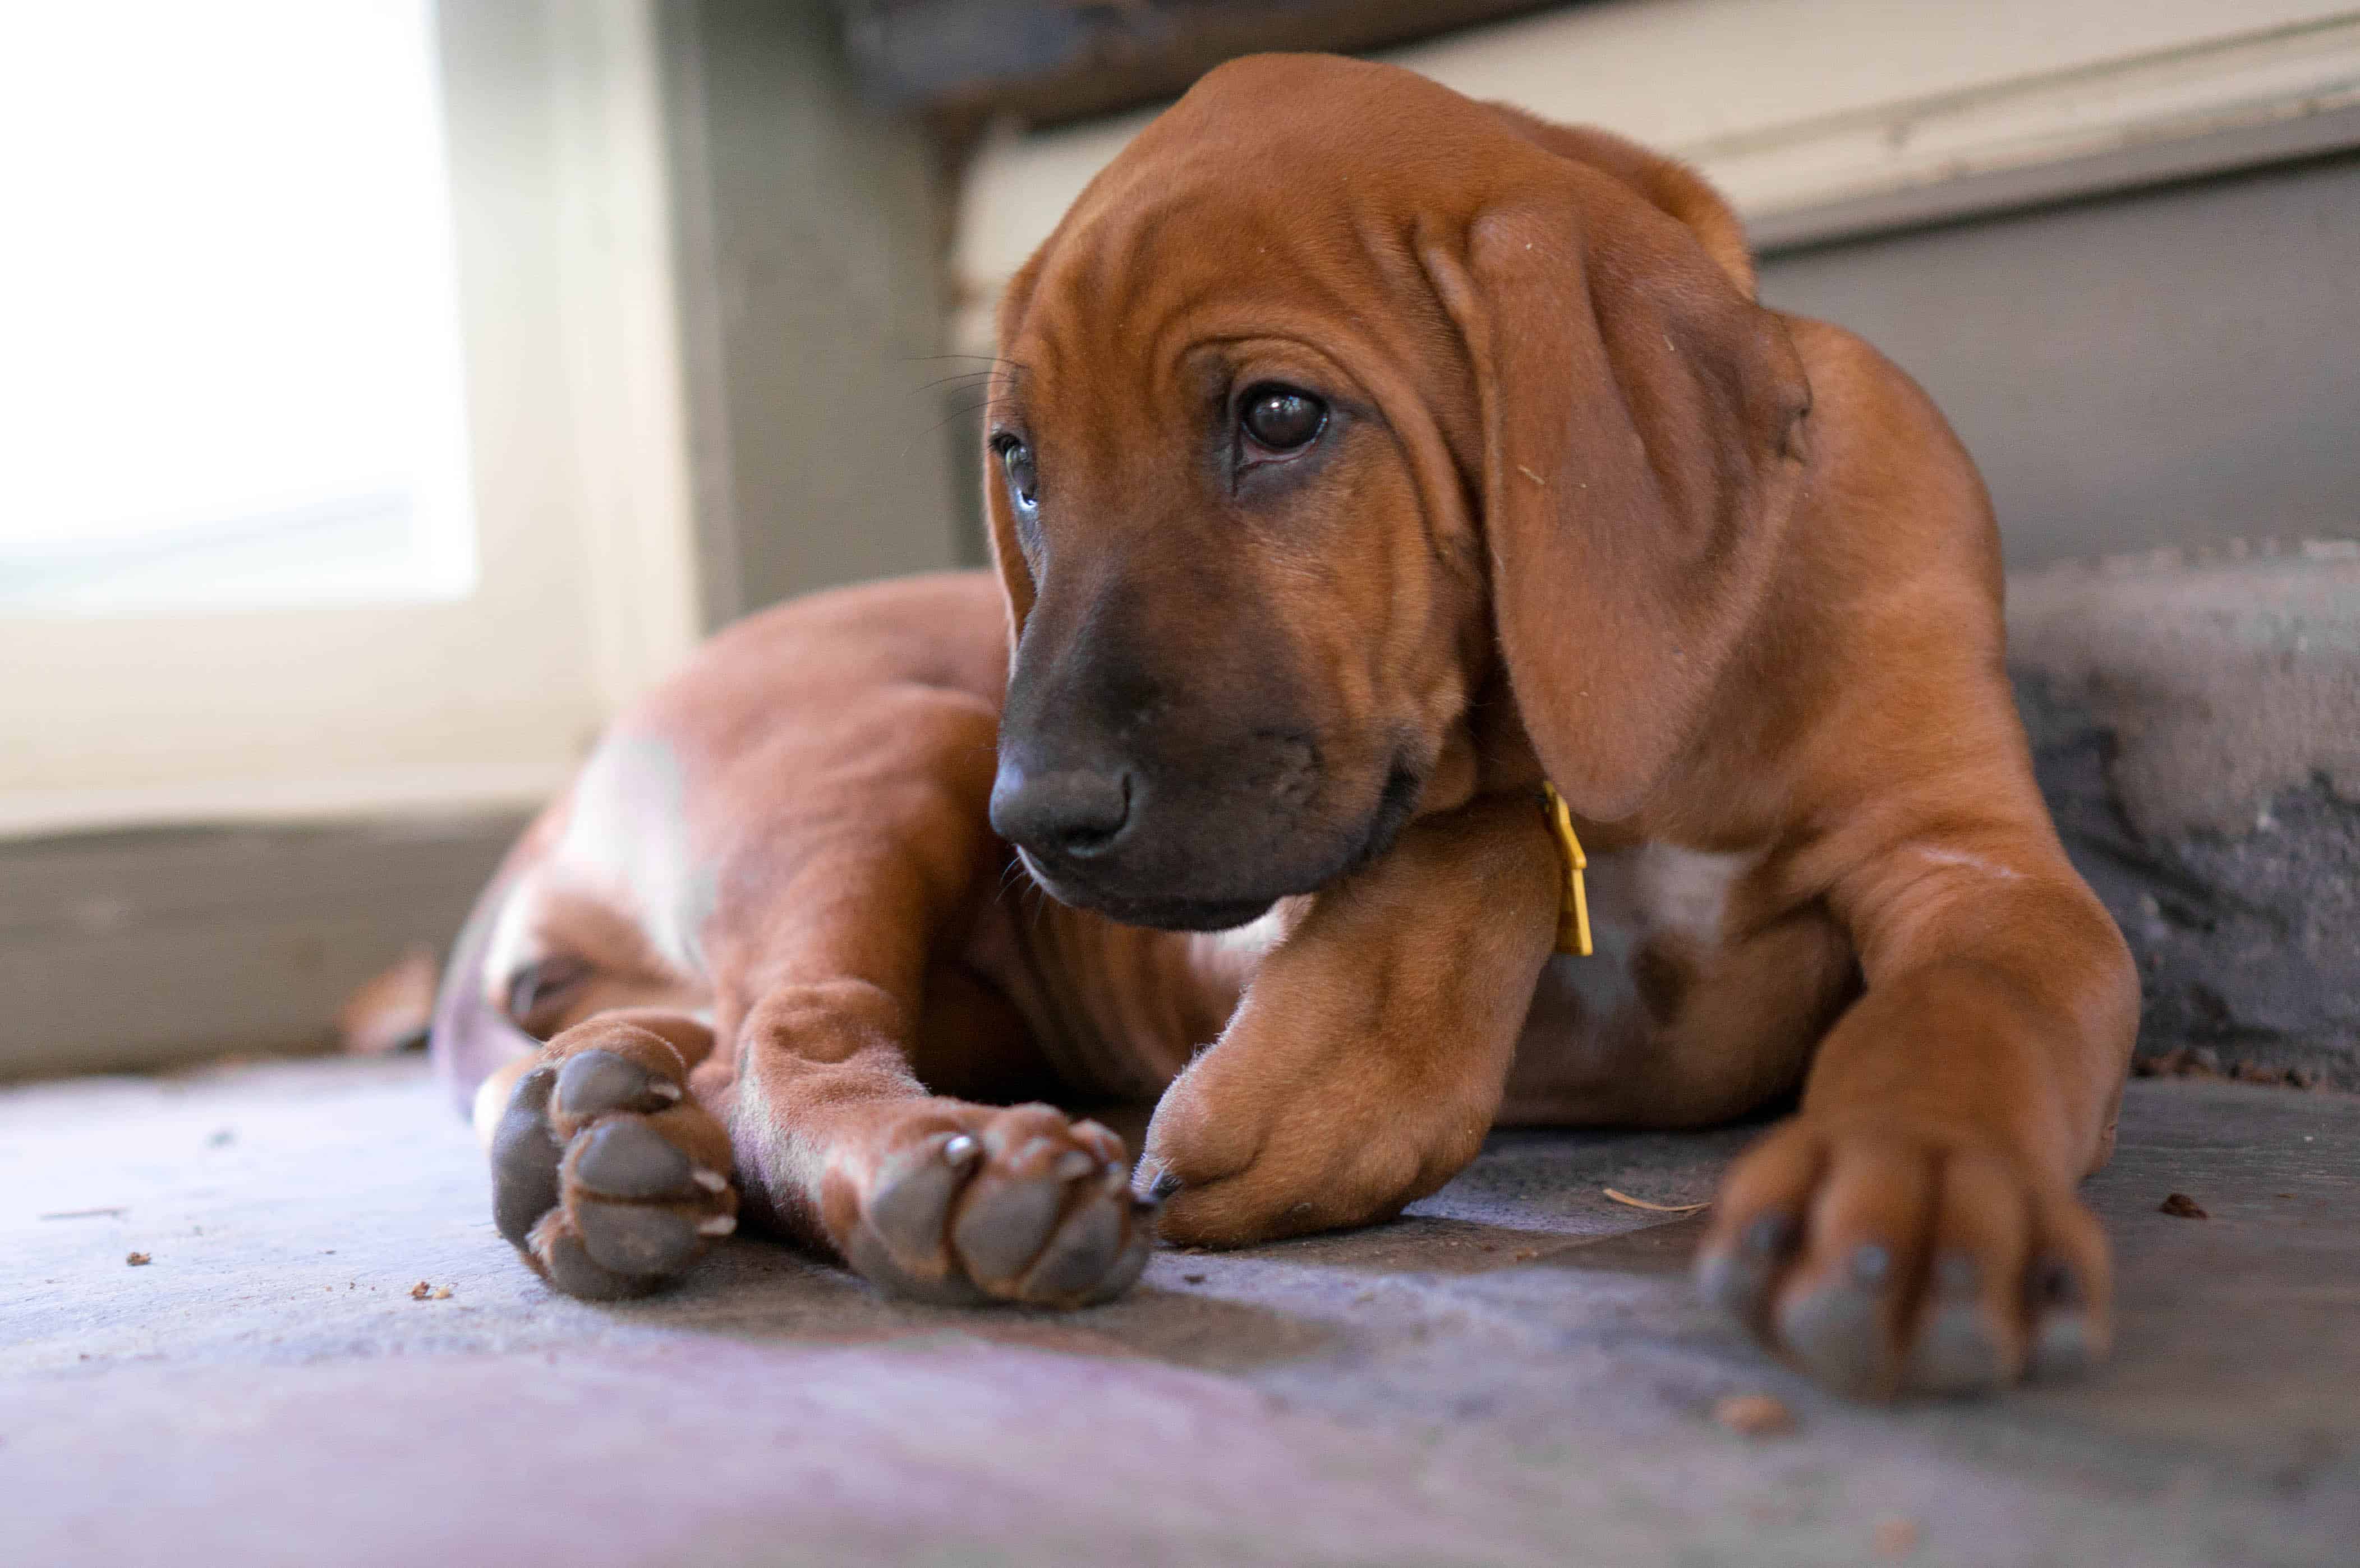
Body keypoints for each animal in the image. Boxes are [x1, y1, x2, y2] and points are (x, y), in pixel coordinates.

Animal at [439, 52, 2142, 1396]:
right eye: (1020, 460)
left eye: (1277, 417)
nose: (1036, 823)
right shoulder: (1232, 913)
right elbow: (1484, 816)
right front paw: (1339, 1070)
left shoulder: (1987, 874)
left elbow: (1959, 1009)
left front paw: (1917, 1188)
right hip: (894, 751)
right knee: (789, 1044)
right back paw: (922, 1175)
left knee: (722, 1039)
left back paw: (587, 1129)